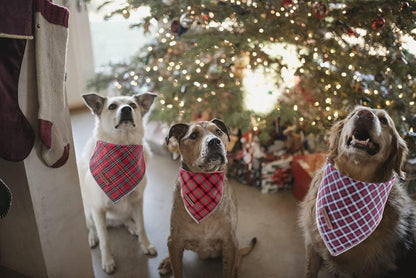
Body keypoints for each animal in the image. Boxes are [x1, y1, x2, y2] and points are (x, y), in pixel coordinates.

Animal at [158, 119, 255, 278]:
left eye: (218, 132)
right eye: (193, 135)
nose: (215, 142)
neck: (204, 183)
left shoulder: (230, 243)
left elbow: (228, 271)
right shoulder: (176, 241)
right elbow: (177, 269)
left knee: (237, 262)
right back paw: (167, 263)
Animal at [300, 105, 416, 276]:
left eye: (383, 120)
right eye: (353, 113)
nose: (364, 114)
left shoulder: (367, 269)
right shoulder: (312, 245)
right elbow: (309, 272)